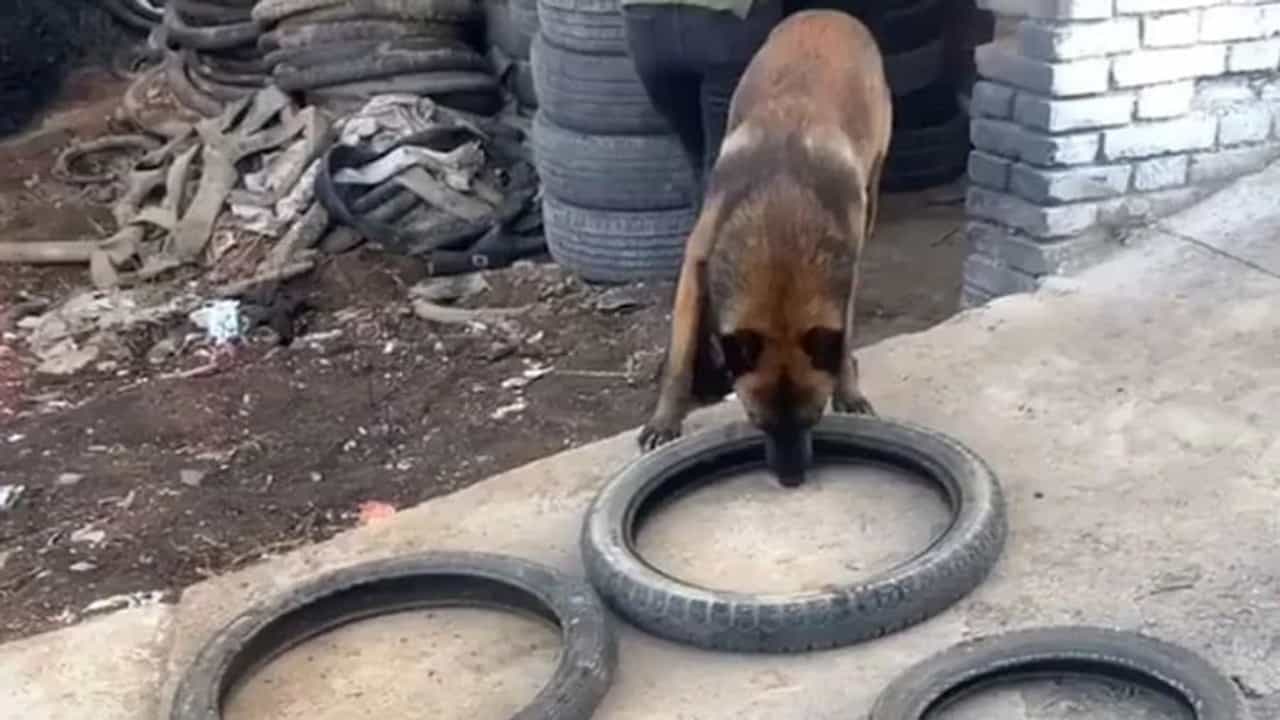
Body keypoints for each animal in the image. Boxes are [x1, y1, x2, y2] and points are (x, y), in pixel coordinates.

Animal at [637, 9, 892, 487]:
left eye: (813, 419)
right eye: (758, 422)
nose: (791, 481)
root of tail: (829, 13)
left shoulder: (846, 273)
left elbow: (844, 339)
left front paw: (848, 389)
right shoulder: (696, 264)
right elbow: (680, 356)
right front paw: (665, 420)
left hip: (874, 182)